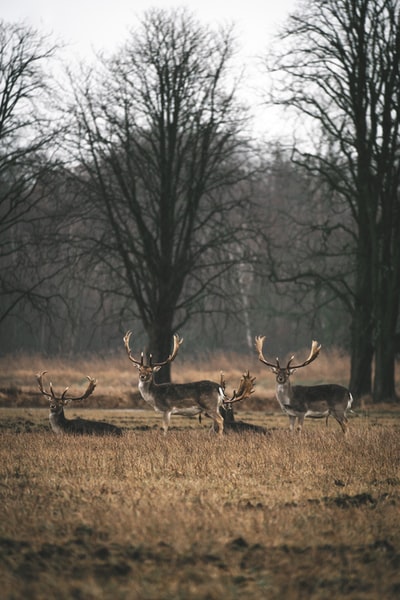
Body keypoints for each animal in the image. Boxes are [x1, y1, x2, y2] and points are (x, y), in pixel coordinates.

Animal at [122, 328, 253, 436]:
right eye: (139, 369)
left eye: (150, 371)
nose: (142, 376)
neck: (154, 396)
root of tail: (218, 387)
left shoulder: (167, 409)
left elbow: (165, 428)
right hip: (213, 407)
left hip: (209, 405)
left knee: (220, 420)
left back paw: (219, 438)